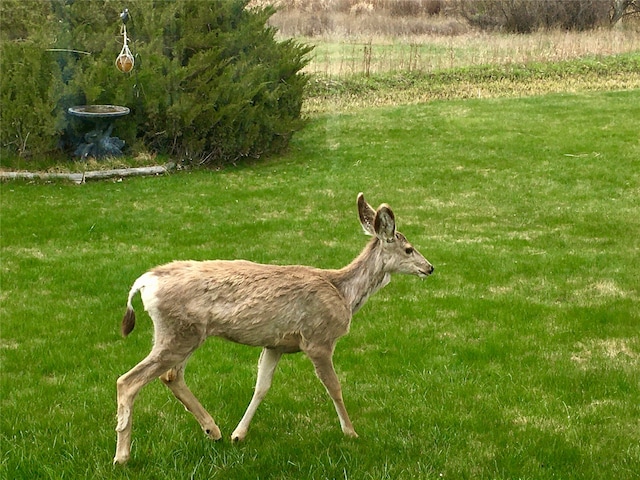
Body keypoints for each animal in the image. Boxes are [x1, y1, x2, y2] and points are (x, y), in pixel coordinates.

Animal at [115, 192, 436, 464]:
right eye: (409, 249)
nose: (430, 268)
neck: (343, 293)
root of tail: (146, 281)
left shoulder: (275, 344)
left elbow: (261, 386)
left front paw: (238, 434)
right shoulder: (318, 339)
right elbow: (334, 386)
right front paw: (351, 432)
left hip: (182, 333)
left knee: (170, 376)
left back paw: (213, 431)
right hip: (180, 332)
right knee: (128, 381)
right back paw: (122, 456)